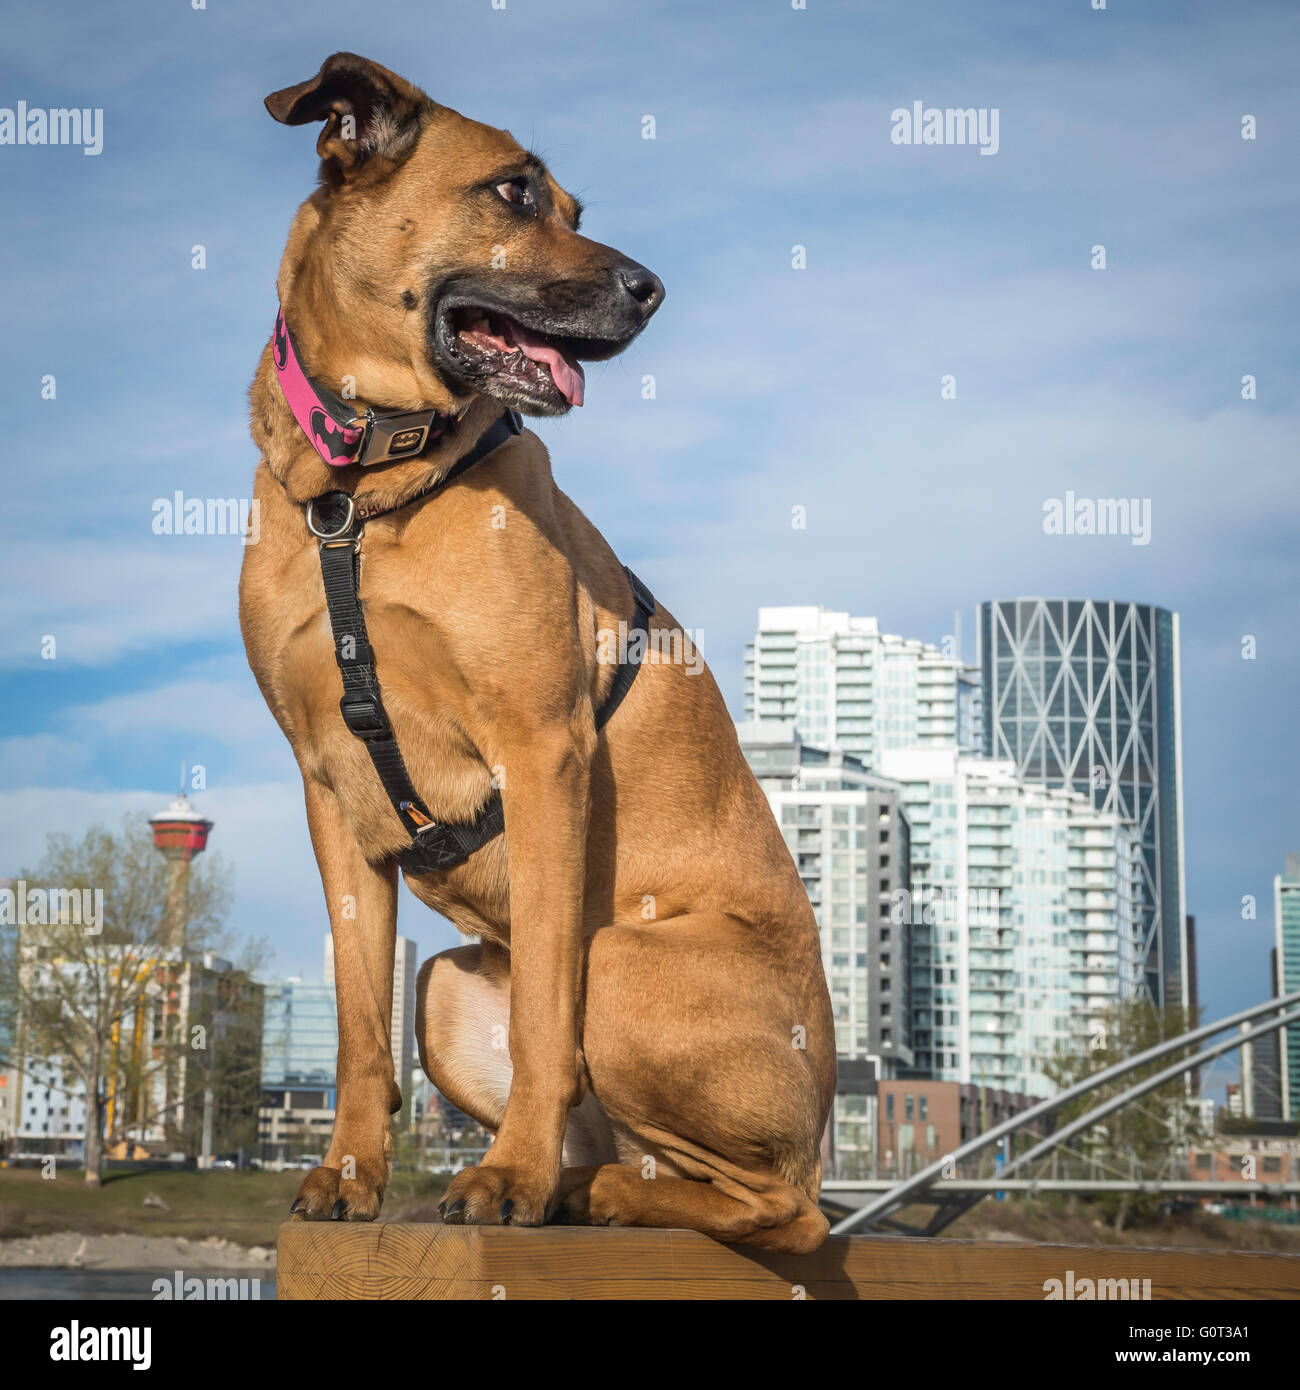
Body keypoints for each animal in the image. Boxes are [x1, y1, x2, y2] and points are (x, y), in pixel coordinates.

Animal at [241, 54, 834, 1256]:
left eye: (574, 210)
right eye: (513, 193)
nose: (653, 289)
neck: (362, 491)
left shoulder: (544, 753)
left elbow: (545, 1018)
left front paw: (508, 1177)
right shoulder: (329, 793)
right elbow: (359, 1024)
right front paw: (351, 1175)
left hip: (627, 960)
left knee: (786, 1210)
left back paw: (579, 1192)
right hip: (449, 989)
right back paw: (584, 1187)